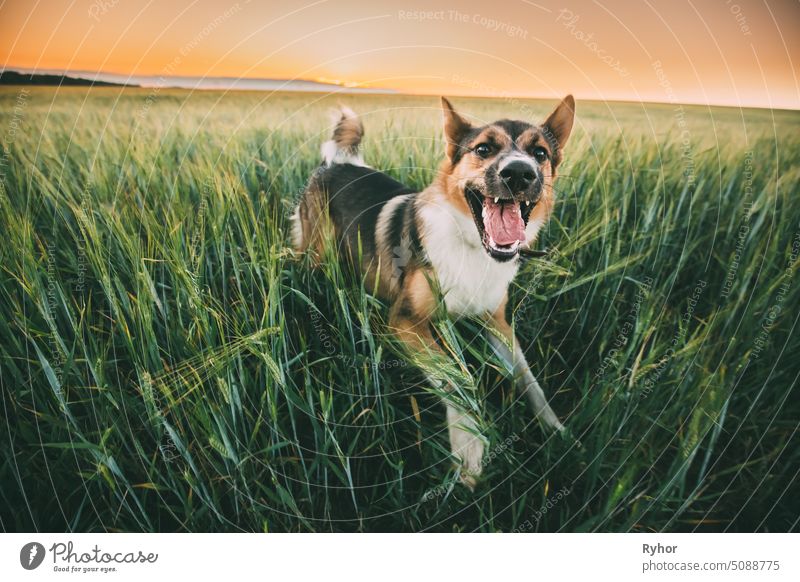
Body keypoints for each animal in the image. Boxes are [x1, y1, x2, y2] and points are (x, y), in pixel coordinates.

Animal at [292, 96, 576, 488]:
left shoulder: (497, 322)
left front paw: (556, 431)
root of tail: (337, 162)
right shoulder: (404, 321)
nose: (519, 173)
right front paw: (469, 447)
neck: (471, 245)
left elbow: (528, 378)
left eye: (540, 153)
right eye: (483, 149)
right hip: (317, 251)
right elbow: (455, 374)